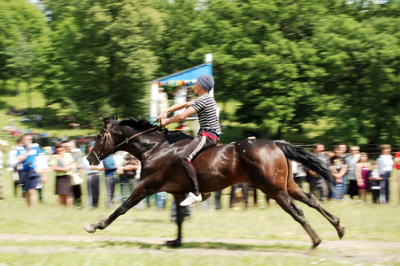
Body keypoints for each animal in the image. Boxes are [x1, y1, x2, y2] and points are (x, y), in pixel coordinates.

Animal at [83, 117, 344, 248]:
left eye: (99, 136)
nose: (89, 158)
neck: (155, 148)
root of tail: (276, 144)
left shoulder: (147, 186)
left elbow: (122, 208)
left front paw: (96, 225)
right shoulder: (178, 192)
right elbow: (180, 219)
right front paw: (176, 242)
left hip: (274, 189)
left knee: (297, 211)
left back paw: (316, 241)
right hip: (287, 185)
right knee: (312, 200)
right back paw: (339, 227)